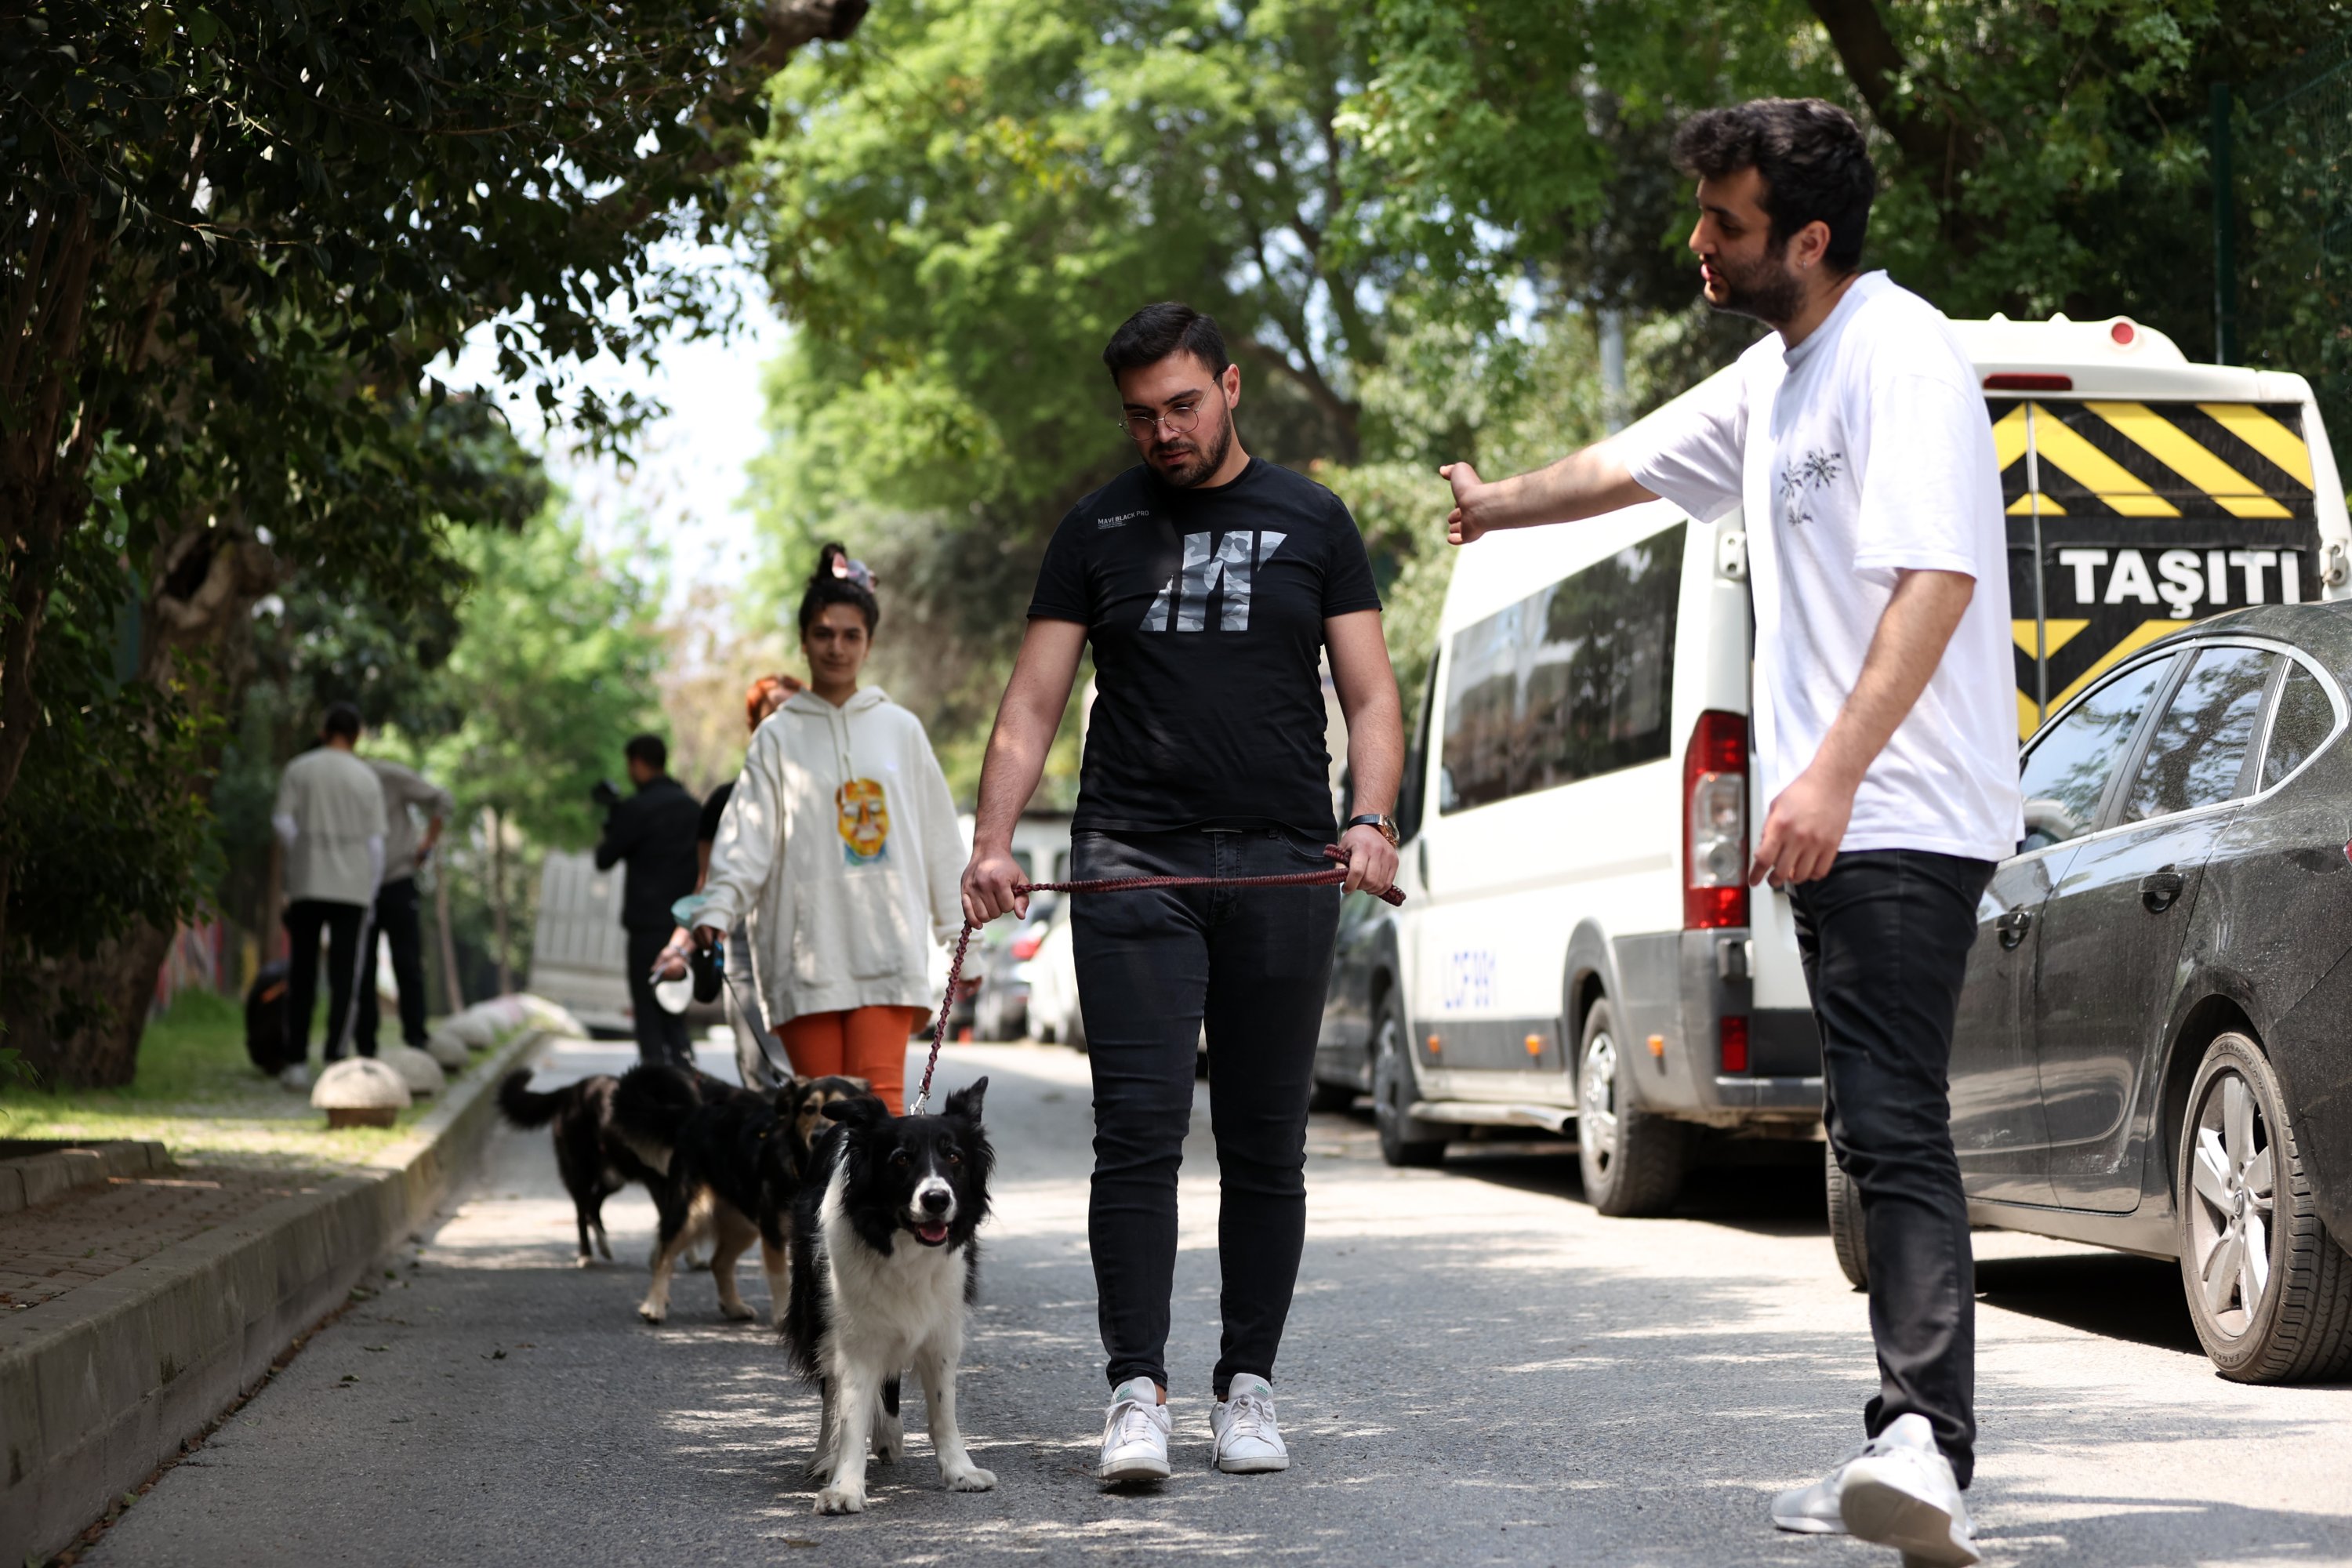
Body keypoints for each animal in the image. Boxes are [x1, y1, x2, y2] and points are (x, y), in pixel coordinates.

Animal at [616, 1067, 884, 1326]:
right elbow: (779, 1275)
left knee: (719, 1262)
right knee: (664, 1256)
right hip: (691, 1212)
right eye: (809, 1109)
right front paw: (782, 1317)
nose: (818, 1135)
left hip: (743, 1225)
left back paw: (734, 1307)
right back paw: (653, 1306)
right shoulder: (774, 1233)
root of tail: (696, 1114)